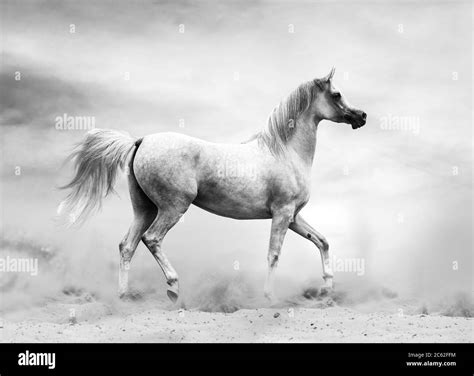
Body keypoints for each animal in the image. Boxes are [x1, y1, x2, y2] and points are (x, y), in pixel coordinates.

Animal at [58, 67, 366, 302]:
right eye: (336, 94)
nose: (361, 116)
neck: (284, 152)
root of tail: (141, 141)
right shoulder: (282, 214)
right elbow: (274, 255)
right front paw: (269, 297)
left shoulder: (293, 217)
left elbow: (322, 241)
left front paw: (327, 290)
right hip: (172, 208)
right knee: (152, 239)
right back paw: (173, 288)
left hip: (144, 209)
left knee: (127, 246)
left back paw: (124, 296)